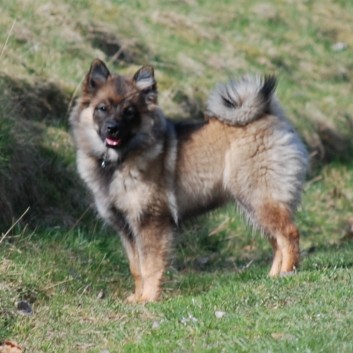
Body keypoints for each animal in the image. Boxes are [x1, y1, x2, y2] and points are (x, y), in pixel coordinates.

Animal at [69, 59, 308, 302]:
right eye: (102, 108)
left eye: (129, 112)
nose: (112, 129)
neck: (119, 160)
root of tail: (268, 116)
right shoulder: (126, 228)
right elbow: (136, 268)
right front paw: (136, 298)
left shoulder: (150, 221)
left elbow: (150, 266)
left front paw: (148, 299)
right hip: (254, 205)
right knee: (276, 241)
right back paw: (273, 277)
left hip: (260, 198)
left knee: (289, 234)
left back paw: (288, 272)